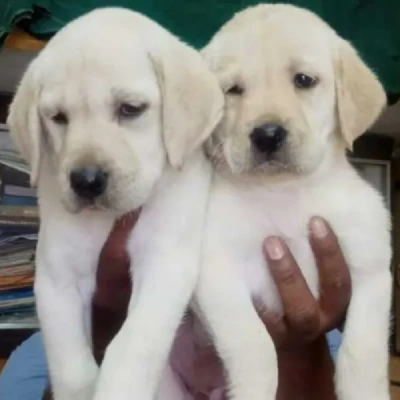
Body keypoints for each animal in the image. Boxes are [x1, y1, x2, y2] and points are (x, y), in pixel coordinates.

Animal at [6, 7, 223, 400]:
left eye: (130, 109)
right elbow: (72, 366)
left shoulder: (164, 262)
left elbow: (132, 347)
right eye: (57, 117)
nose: (86, 181)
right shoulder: (57, 276)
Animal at [195, 3, 392, 400]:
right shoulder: (217, 270)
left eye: (303, 80)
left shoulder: (372, 269)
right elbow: (254, 346)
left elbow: (362, 353)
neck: (285, 191)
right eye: (233, 90)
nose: (267, 135)